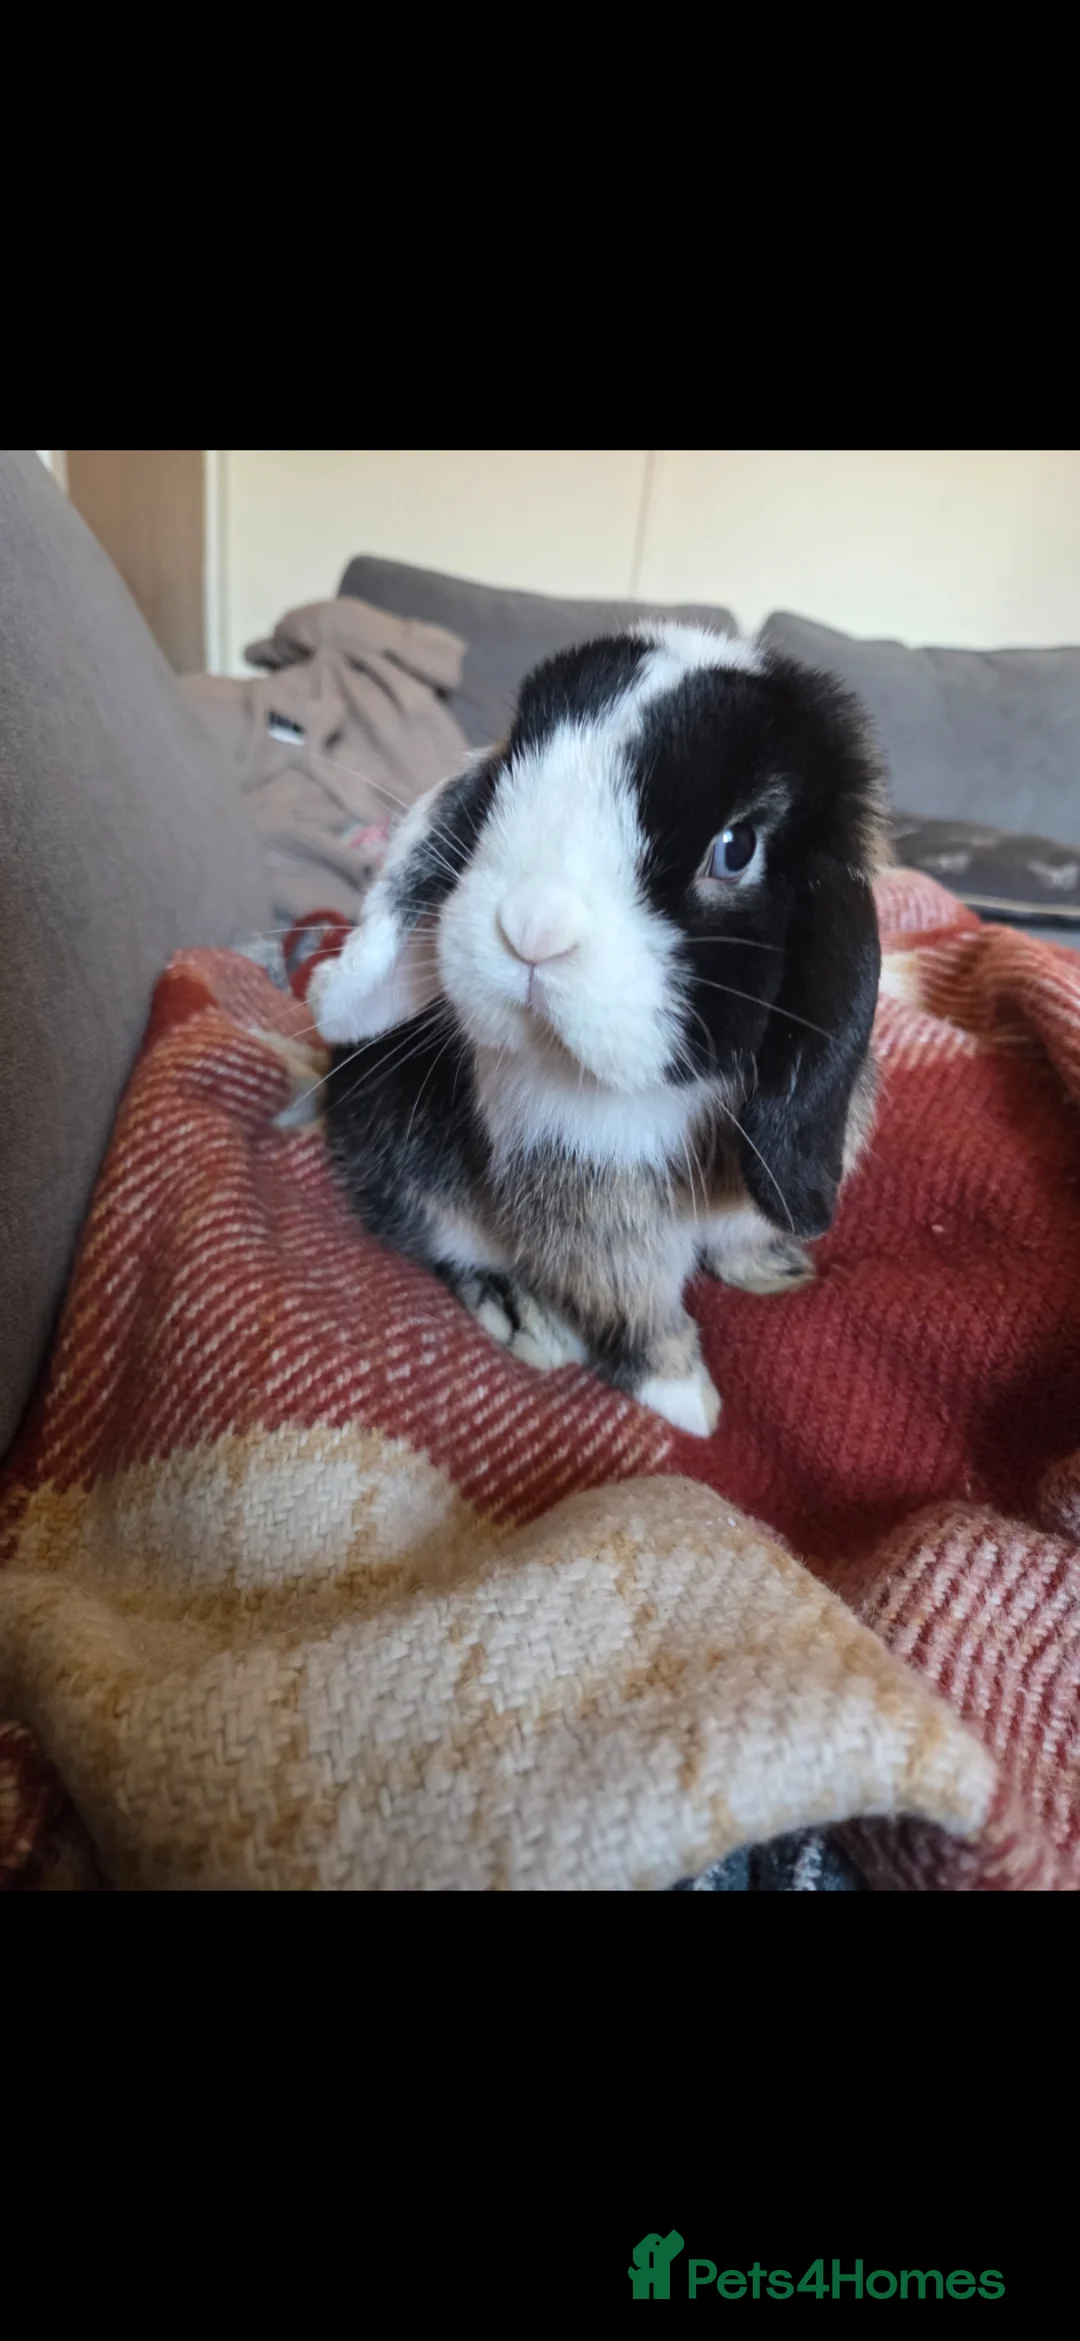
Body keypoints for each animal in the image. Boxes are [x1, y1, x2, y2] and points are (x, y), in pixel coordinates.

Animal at [309, 622, 885, 1437]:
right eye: (504, 783)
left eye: (736, 848)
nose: (531, 929)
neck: (681, 1096)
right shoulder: (595, 1218)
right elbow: (634, 1308)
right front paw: (689, 1403)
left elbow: (737, 1241)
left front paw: (776, 1272)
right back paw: (524, 1317)